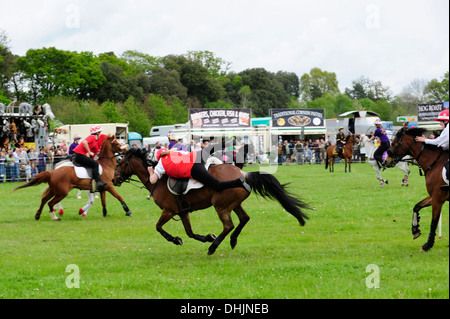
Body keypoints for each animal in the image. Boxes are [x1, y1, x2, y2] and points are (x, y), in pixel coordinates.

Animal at [113, 149, 310, 256]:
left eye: (120, 163)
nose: (114, 179)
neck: (157, 181)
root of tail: (243, 174)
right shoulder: (182, 211)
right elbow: (190, 233)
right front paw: (207, 237)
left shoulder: (169, 211)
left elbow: (159, 228)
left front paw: (176, 239)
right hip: (234, 204)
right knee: (244, 219)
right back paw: (232, 240)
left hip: (220, 205)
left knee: (229, 225)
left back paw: (213, 247)